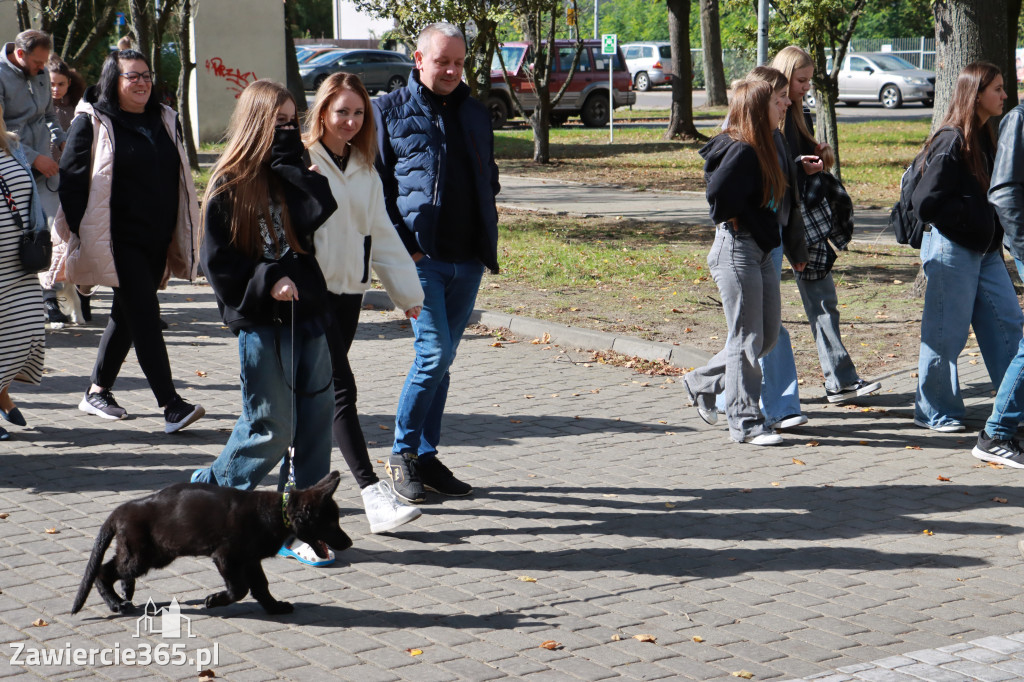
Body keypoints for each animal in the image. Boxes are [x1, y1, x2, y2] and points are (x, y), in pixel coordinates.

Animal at [71, 471, 352, 614]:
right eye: (330, 523)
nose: (349, 543)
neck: (276, 513)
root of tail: (120, 510)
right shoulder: (226, 557)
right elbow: (239, 589)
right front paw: (214, 600)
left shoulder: (250, 561)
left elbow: (261, 587)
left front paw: (274, 607)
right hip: (142, 556)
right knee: (102, 572)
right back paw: (115, 602)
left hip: (154, 553)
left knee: (116, 568)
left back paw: (125, 591)